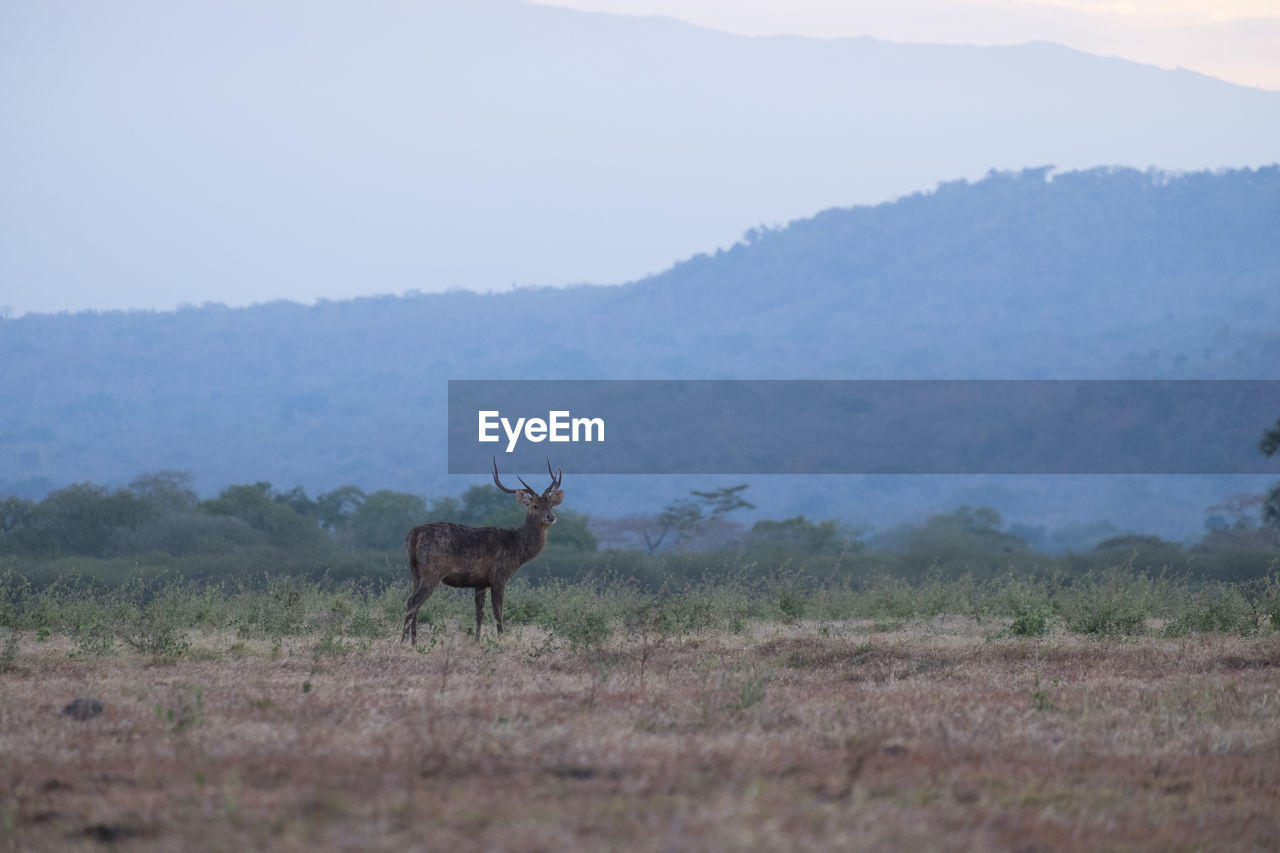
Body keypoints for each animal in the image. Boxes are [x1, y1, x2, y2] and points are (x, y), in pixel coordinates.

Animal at [396, 455, 563, 640]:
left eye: (551, 504)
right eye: (534, 505)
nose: (550, 516)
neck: (518, 549)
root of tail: (414, 534)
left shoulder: (480, 581)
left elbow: (479, 612)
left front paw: (476, 640)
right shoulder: (498, 576)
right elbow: (498, 612)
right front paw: (501, 639)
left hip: (415, 572)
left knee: (414, 603)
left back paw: (413, 641)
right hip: (432, 571)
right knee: (412, 601)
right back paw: (403, 641)